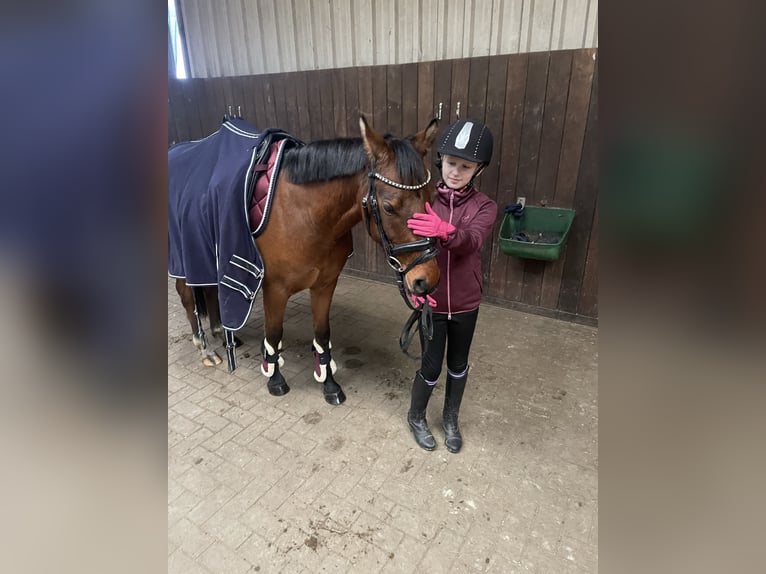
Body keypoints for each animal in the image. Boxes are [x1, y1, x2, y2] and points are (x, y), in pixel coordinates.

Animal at [173, 116, 438, 404]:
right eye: (389, 207)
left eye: (431, 197)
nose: (428, 278)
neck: (305, 214)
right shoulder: (275, 289)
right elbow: (273, 334)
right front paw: (275, 379)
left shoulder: (325, 284)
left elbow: (322, 334)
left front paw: (329, 383)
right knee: (188, 298)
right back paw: (205, 348)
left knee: (210, 291)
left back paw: (222, 332)